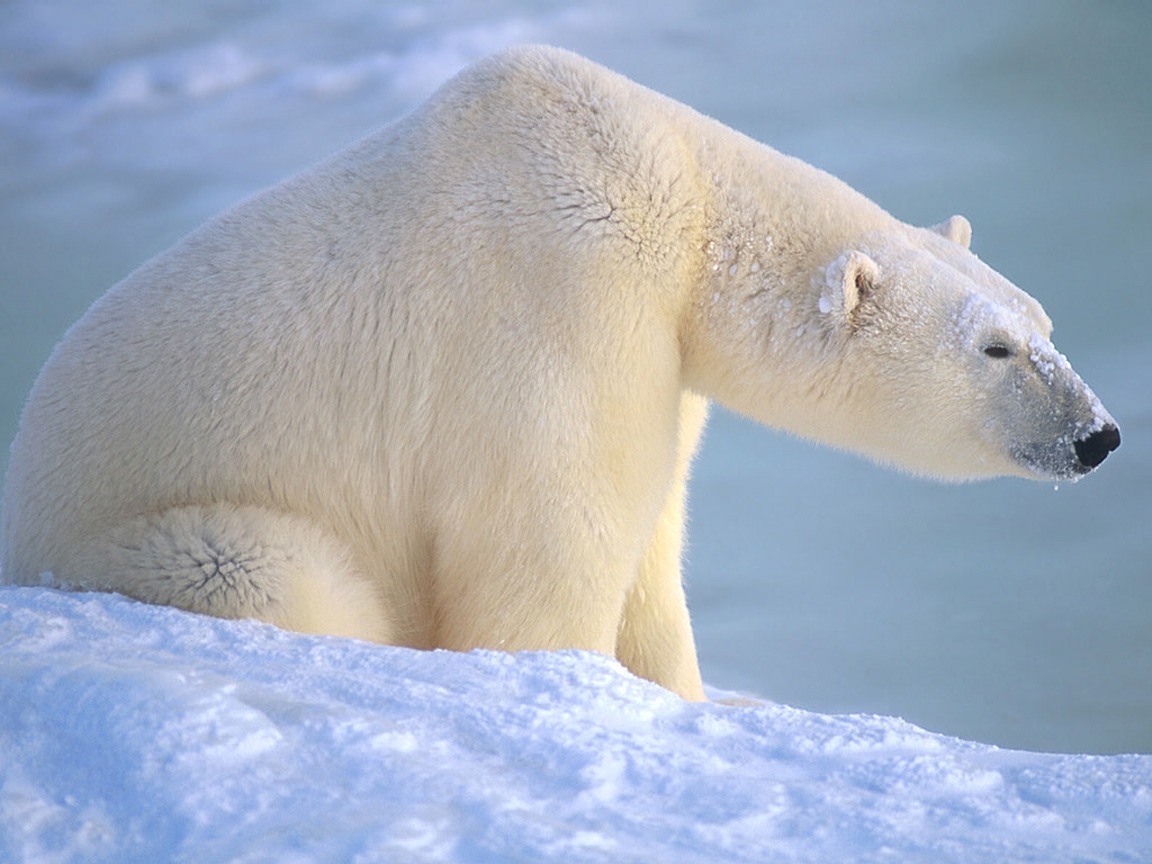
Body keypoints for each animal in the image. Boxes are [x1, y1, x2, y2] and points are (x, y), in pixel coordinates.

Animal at [1, 45, 1119, 701]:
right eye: (995, 348)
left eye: (1043, 323)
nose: (1098, 434)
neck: (680, 199)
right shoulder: (564, 296)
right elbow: (550, 527)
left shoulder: (662, 358)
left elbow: (653, 541)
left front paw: (680, 694)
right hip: (154, 535)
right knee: (275, 573)